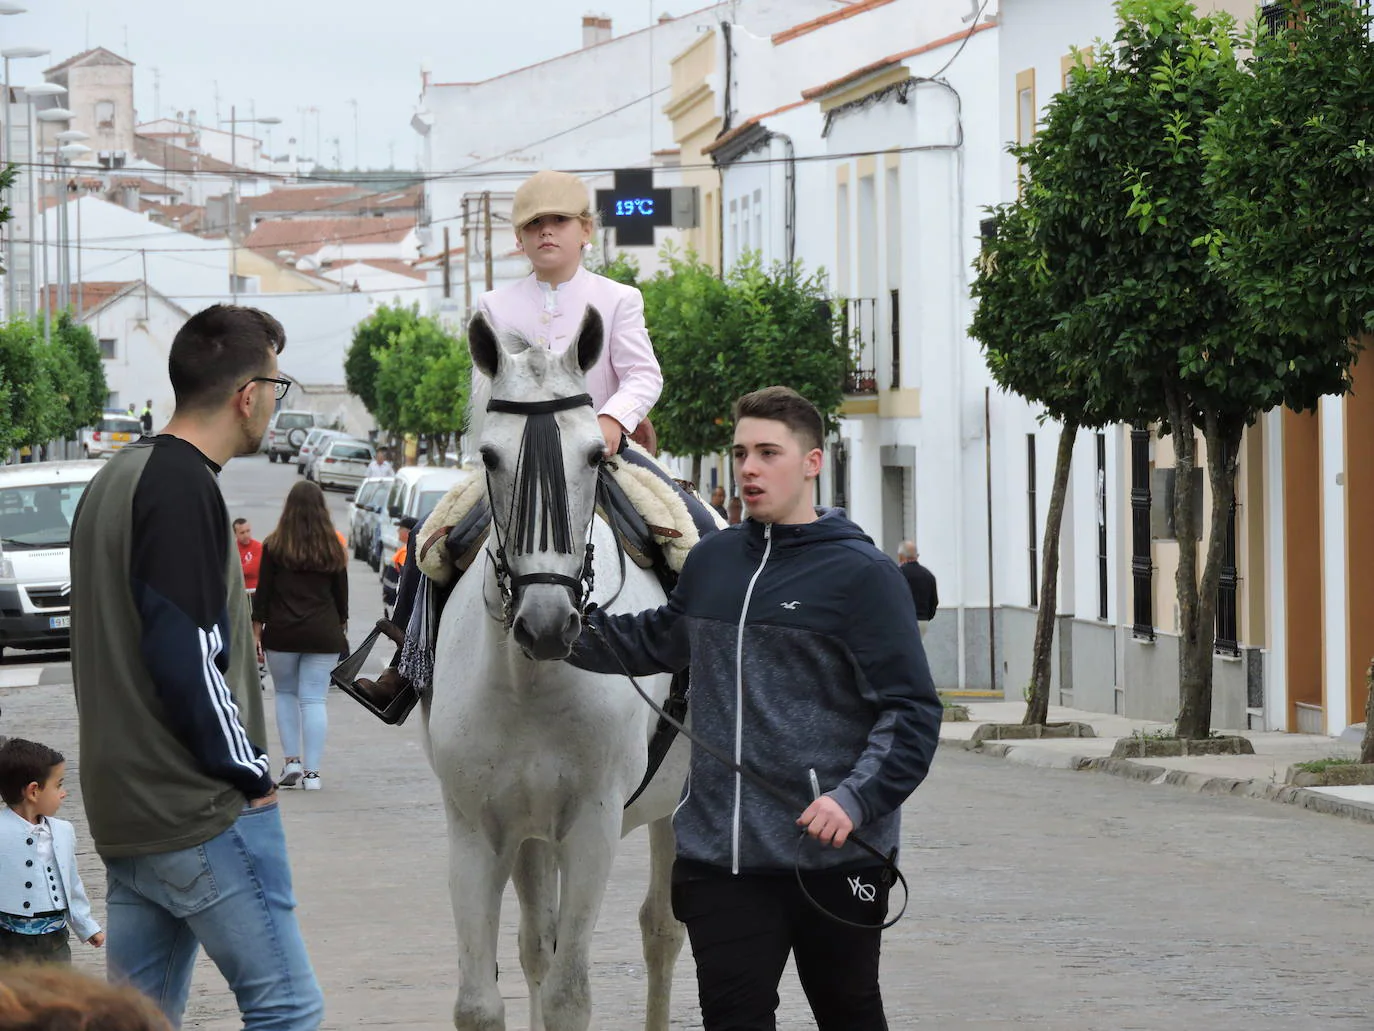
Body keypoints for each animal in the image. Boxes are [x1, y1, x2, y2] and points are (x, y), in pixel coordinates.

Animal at [423, 309, 687, 1031]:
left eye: (595, 455)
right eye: (489, 456)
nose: (547, 625)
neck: (531, 685)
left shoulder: (593, 829)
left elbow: (571, 993)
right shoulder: (476, 831)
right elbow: (480, 1002)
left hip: (669, 811)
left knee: (662, 929)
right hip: (531, 835)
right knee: (536, 944)